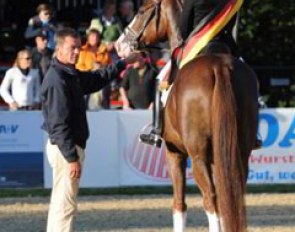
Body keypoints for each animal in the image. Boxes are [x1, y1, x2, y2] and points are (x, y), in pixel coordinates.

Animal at [117, 0, 260, 231]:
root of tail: (219, 67)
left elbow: (179, 205)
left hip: (197, 154)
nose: (120, 45)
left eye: (141, 11)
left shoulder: (174, 152)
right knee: (230, 196)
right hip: (239, 150)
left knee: (210, 199)